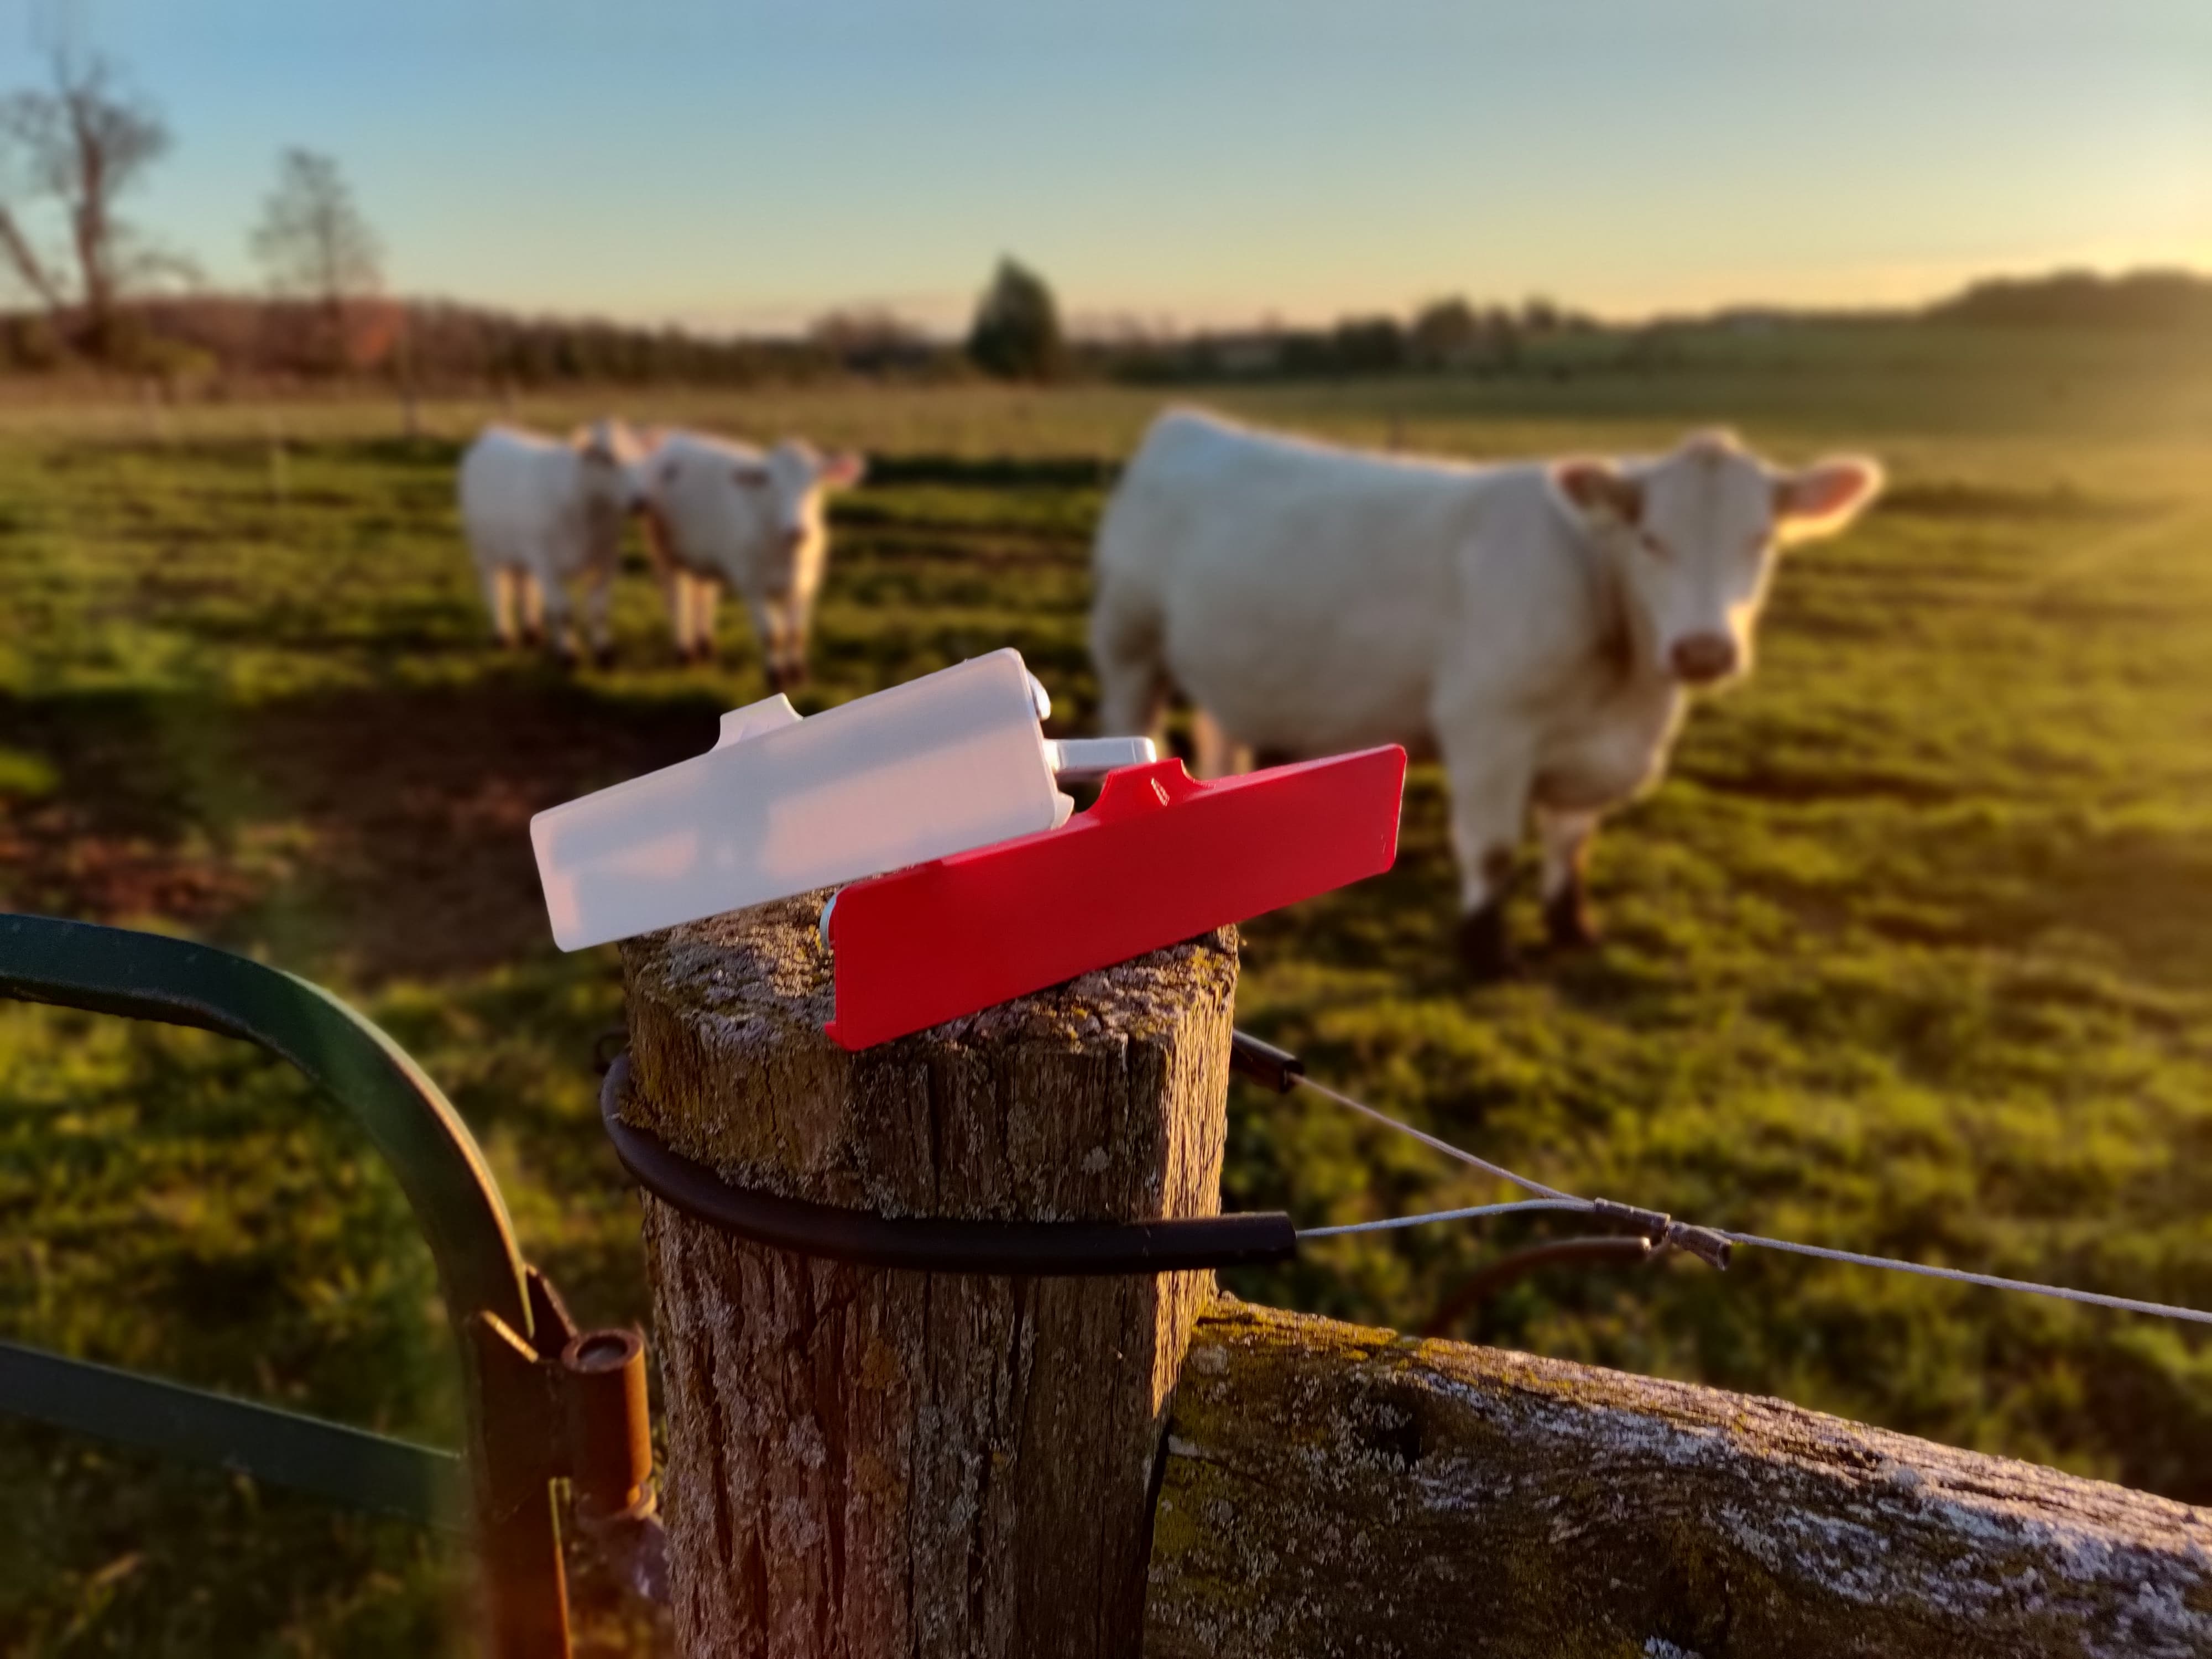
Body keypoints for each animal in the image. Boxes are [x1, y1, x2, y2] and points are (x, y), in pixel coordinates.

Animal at [458, 420, 645, 666]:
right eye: (607, 458)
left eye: (642, 456)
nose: (641, 501)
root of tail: (494, 431)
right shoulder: (547, 564)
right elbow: (563, 612)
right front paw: (568, 654)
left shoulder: (606, 559)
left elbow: (599, 609)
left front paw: (604, 652)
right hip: (485, 548)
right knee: (496, 590)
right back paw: (502, 636)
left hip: (520, 551)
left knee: (523, 584)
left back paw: (532, 632)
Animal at [633, 430, 866, 686]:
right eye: (771, 485)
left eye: (815, 483)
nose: (797, 531)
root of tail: (671, 436)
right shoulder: (753, 585)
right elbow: (772, 635)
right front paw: (776, 677)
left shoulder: (805, 586)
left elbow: (796, 633)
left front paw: (798, 675)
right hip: (664, 552)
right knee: (677, 599)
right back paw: (685, 654)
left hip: (704, 555)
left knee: (703, 595)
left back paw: (706, 649)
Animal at [1090, 408, 1882, 977]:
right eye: (1651, 539)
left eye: (1762, 540)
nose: (1704, 649)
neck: (1625, 692)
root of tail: (1185, 425)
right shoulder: (1488, 725)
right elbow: (1495, 848)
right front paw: (1485, 950)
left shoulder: (1590, 751)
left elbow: (1572, 842)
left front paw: (1572, 927)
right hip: (1130, 642)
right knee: (1133, 720)